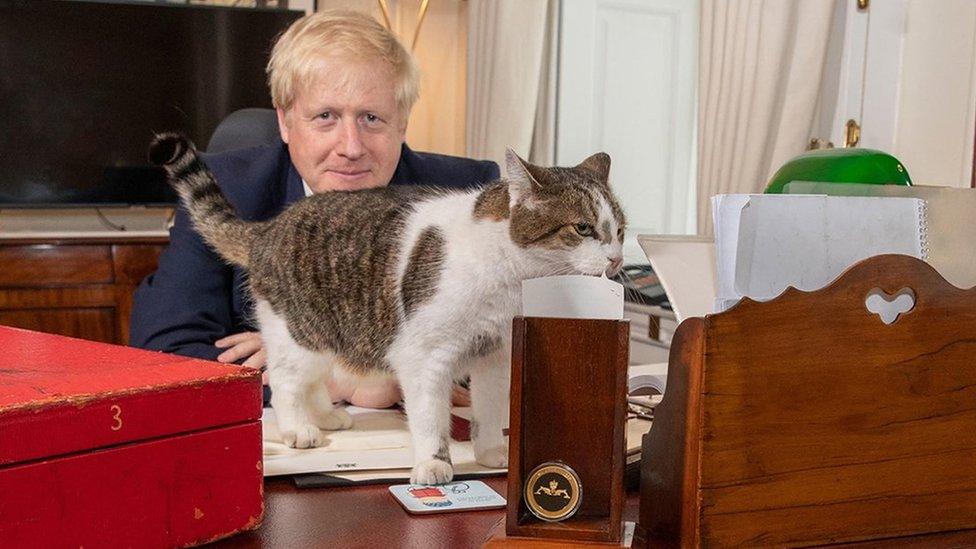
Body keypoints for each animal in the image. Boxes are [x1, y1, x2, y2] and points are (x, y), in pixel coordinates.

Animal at [150, 134, 628, 484]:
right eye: (583, 228)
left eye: (620, 230)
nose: (616, 260)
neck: (511, 280)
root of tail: (268, 227)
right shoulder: (424, 358)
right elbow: (431, 418)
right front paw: (435, 464)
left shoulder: (494, 355)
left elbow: (490, 411)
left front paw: (493, 453)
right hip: (302, 334)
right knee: (283, 379)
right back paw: (300, 429)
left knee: (312, 381)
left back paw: (328, 417)